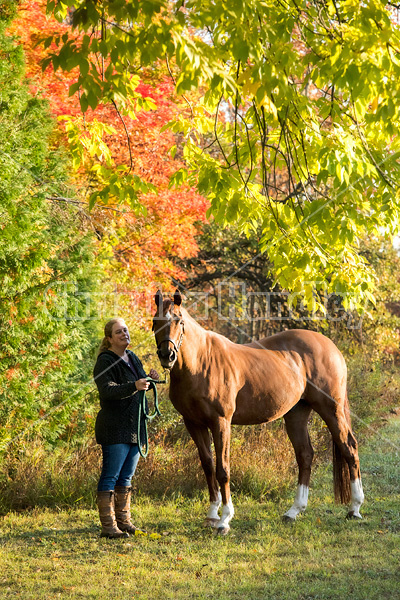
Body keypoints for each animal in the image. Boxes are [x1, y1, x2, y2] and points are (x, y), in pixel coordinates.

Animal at [152, 290, 364, 536]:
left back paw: (355, 508)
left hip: (331, 408)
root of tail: (330, 346)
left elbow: (222, 469)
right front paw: (212, 515)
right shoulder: (193, 423)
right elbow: (207, 466)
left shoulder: (220, 422)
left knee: (349, 448)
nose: (167, 355)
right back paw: (294, 511)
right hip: (296, 414)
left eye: (179, 320)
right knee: (305, 455)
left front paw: (225, 520)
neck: (201, 363)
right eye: (155, 320)